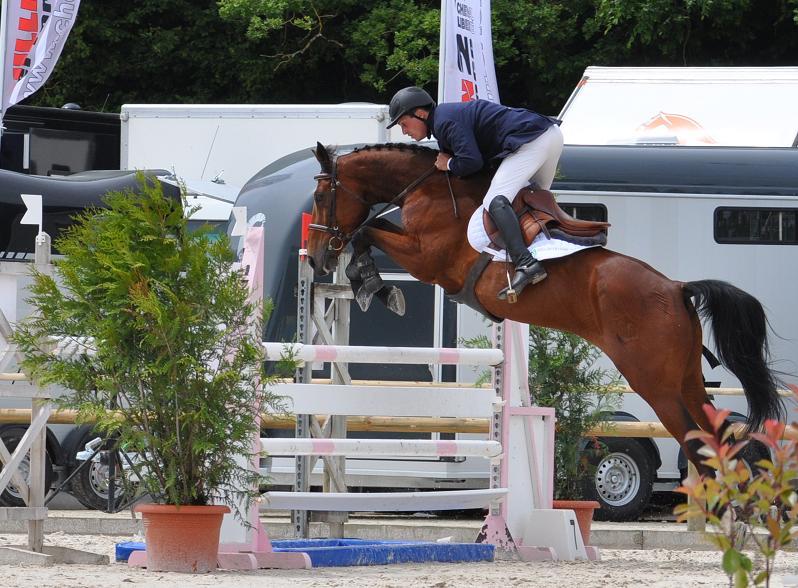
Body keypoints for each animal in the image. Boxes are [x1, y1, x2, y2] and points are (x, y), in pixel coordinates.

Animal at [306, 141, 788, 474]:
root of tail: (675, 288)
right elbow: (368, 231)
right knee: (717, 439)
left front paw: (374, 285)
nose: (315, 258)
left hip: (657, 385)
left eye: (320, 197)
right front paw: (368, 282)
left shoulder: (427, 259)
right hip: (686, 380)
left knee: (698, 448)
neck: (428, 189)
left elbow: (366, 231)